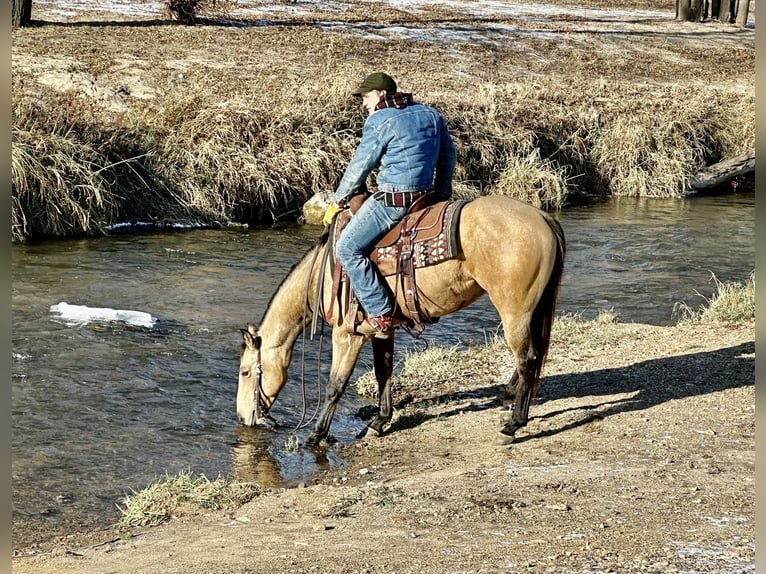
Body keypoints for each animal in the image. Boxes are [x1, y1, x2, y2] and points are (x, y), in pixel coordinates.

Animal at [237, 196, 568, 448]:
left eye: (244, 372)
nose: (242, 417)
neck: (324, 272)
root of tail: (542, 217)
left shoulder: (347, 335)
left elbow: (336, 385)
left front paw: (315, 435)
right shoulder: (382, 330)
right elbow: (383, 373)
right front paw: (378, 423)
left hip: (514, 310)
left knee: (528, 358)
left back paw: (513, 424)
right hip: (530, 309)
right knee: (534, 356)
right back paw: (509, 397)